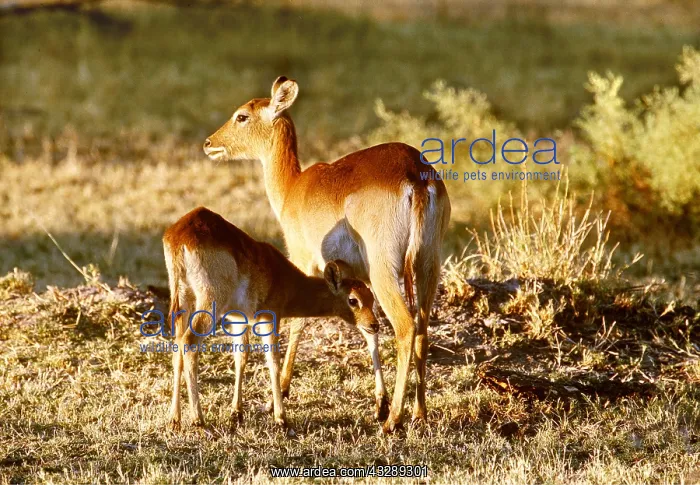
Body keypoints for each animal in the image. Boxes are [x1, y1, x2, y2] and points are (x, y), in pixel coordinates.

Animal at [163, 206, 378, 429]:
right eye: (353, 300)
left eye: (371, 298)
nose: (374, 324)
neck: (285, 278)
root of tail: (179, 237)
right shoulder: (269, 318)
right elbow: (273, 360)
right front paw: (280, 417)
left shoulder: (237, 318)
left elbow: (241, 356)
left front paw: (237, 412)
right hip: (208, 304)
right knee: (189, 343)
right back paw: (198, 418)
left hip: (184, 302)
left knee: (177, 347)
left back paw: (174, 418)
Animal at [203, 77, 451, 433]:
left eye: (242, 116)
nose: (209, 143)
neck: (294, 188)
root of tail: (415, 176)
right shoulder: (355, 279)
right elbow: (368, 328)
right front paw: (379, 402)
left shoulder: (306, 262)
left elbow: (299, 322)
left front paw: (279, 395)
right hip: (427, 266)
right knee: (423, 329)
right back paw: (419, 412)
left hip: (386, 272)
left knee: (406, 327)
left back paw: (393, 421)